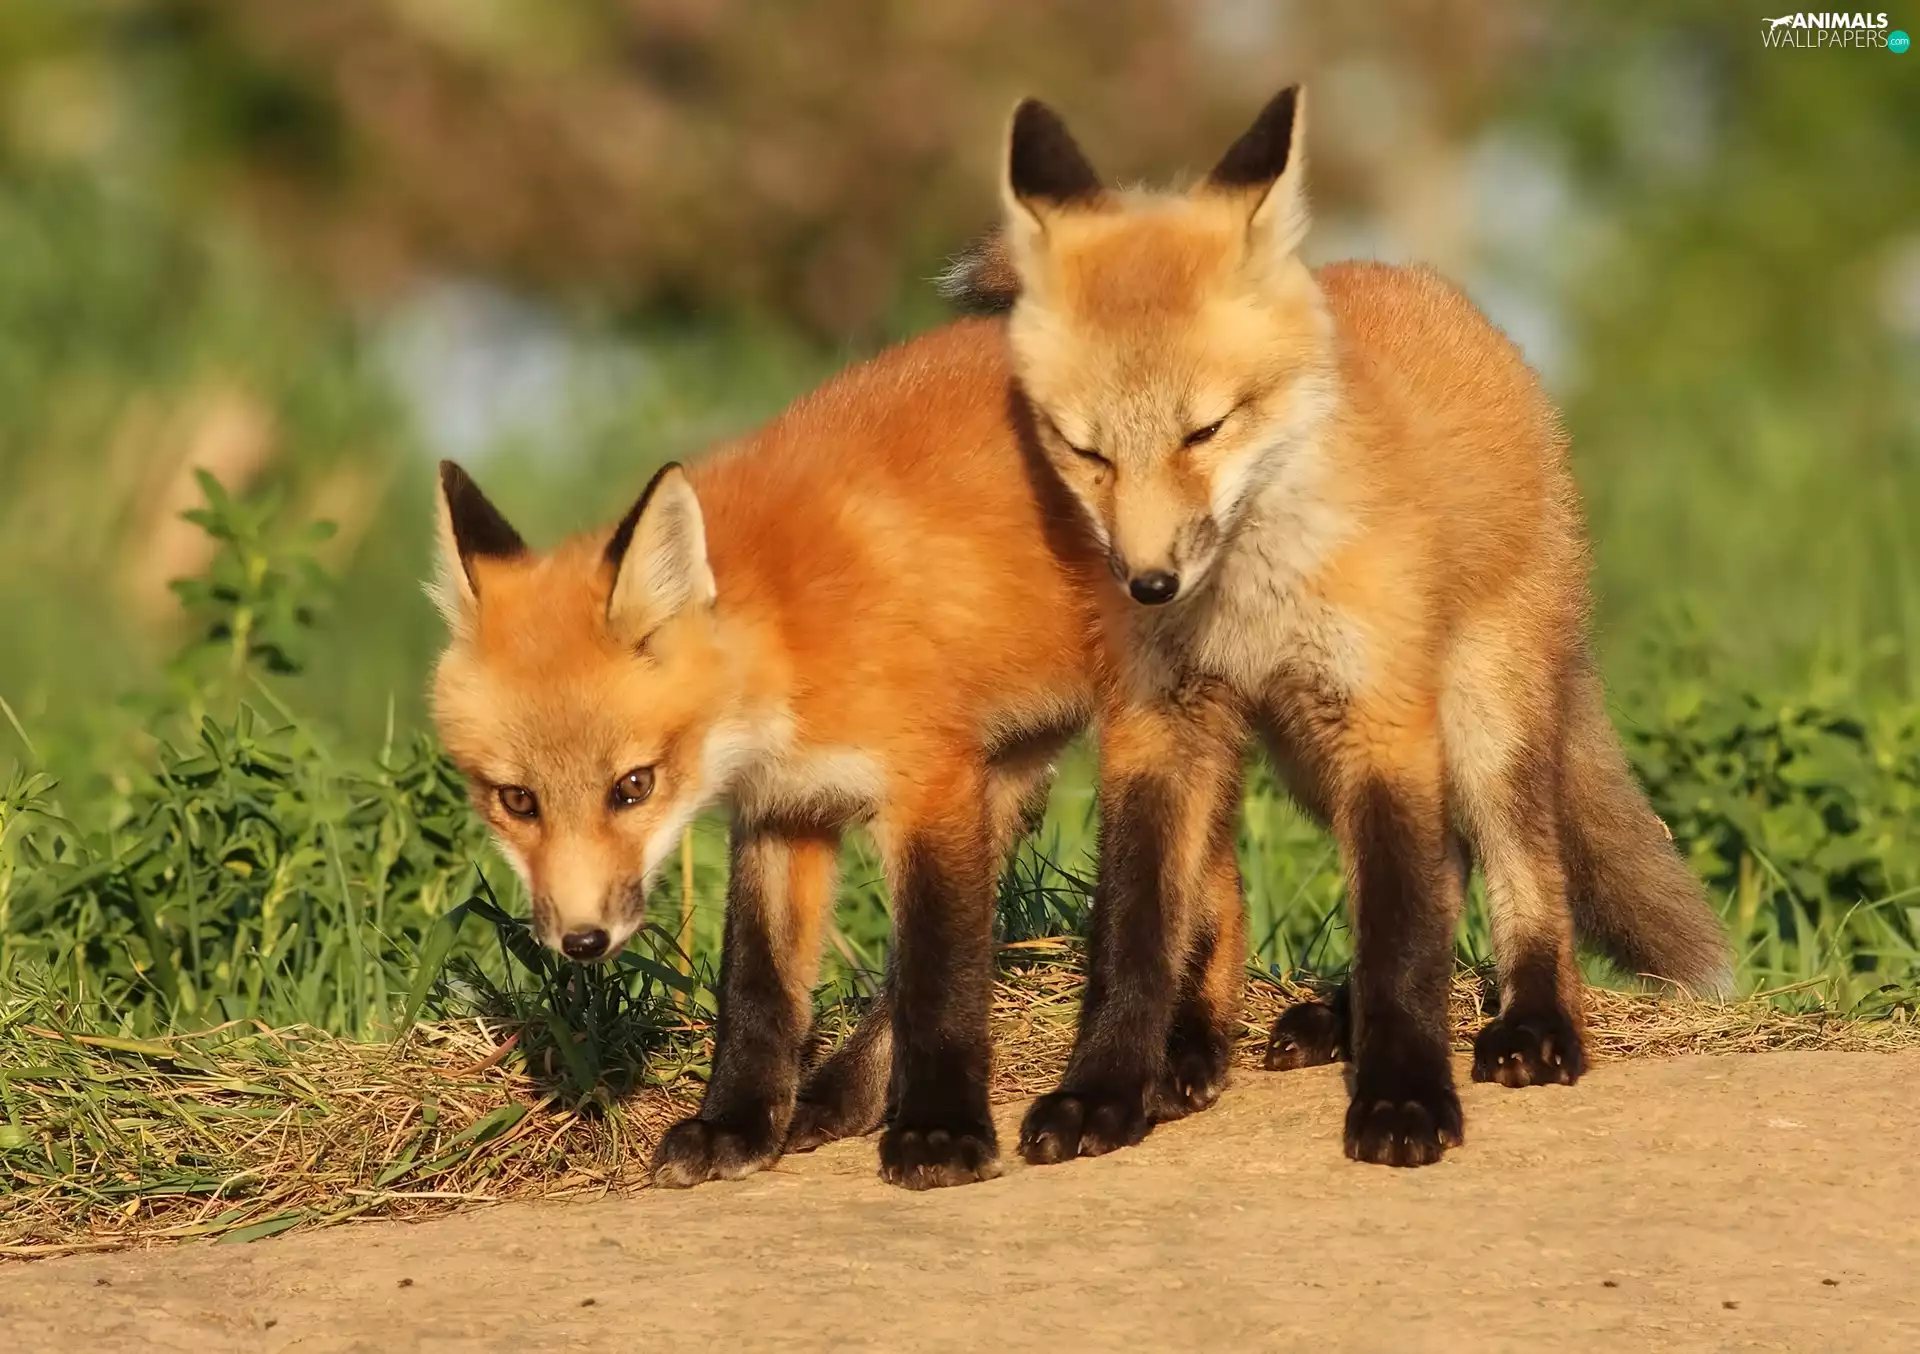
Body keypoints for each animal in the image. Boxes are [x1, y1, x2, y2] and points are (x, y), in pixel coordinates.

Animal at [426, 321, 1115, 1191]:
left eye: (633, 786)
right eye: (518, 801)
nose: (582, 942)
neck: (786, 644)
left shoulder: (930, 782)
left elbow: (940, 972)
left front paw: (941, 1133)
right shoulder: (782, 809)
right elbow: (758, 985)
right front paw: (737, 1124)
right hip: (1015, 764)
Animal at [938, 86, 1732, 1167]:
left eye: (1206, 430)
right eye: (1083, 449)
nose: (1148, 583)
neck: (1247, 596)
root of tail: (1447, 298)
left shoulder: (1385, 716)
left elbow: (1402, 936)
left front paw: (1403, 1100)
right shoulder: (1159, 727)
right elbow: (1133, 934)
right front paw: (1102, 1091)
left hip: (1474, 722)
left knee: (1523, 871)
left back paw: (1535, 1026)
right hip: (1309, 753)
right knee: (1441, 869)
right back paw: (1306, 1025)